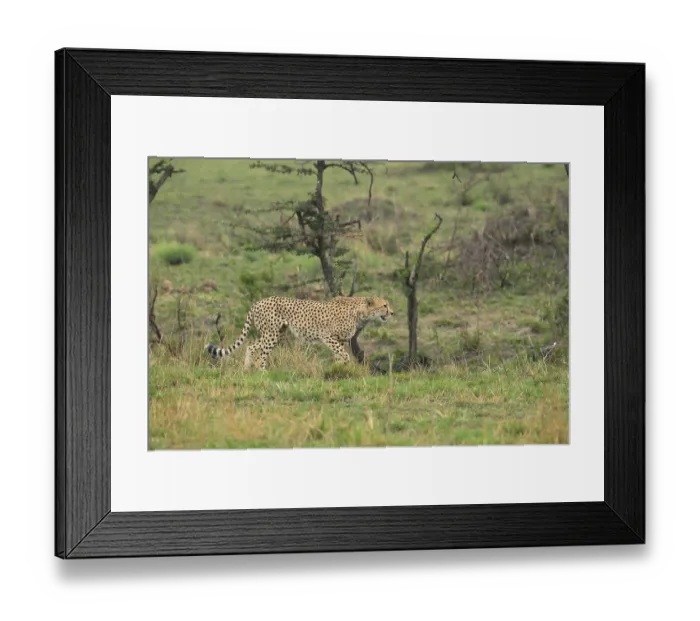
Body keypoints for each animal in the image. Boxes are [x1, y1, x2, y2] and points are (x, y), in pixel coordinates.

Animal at [204, 295, 394, 370]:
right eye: (384, 305)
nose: (391, 312)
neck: (361, 312)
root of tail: (259, 302)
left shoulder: (339, 340)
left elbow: (340, 356)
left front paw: (338, 368)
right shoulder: (328, 336)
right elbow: (345, 355)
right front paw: (341, 367)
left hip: (275, 334)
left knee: (251, 346)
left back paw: (246, 369)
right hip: (271, 334)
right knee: (260, 354)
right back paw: (262, 371)